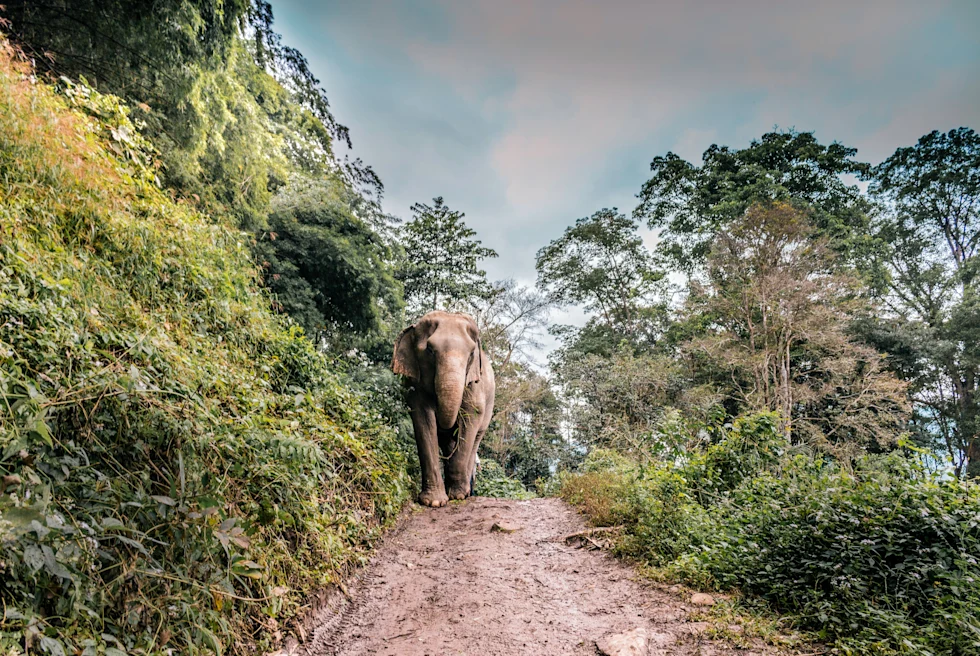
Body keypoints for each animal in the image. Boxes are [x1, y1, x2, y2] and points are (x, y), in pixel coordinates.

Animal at [391, 311, 495, 507]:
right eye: (430, 351)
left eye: (471, 354)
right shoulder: (415, 385)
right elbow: (423, 419)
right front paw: (434, 502)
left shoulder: (474, 384)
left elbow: (471, 417)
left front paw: (458, 496)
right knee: (447, 442)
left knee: (475, 438)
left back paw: (465, 492)